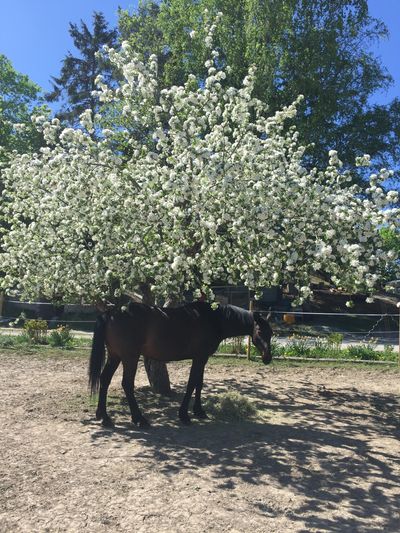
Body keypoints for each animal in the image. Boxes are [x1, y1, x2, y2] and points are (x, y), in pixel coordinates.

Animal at [89, 302, 274, 426]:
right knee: (127, 384)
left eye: (271, 333)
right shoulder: (199, 358)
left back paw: (104, 417)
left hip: (115, 356)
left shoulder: (203, 359)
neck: (213, 319)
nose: (267, 358)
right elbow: (192, 383)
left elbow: (199, 383)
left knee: (105, 380)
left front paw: (199, 411)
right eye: (259, 331)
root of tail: (111, 313)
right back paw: (139, 419)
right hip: (130, 358)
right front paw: (184, 415)